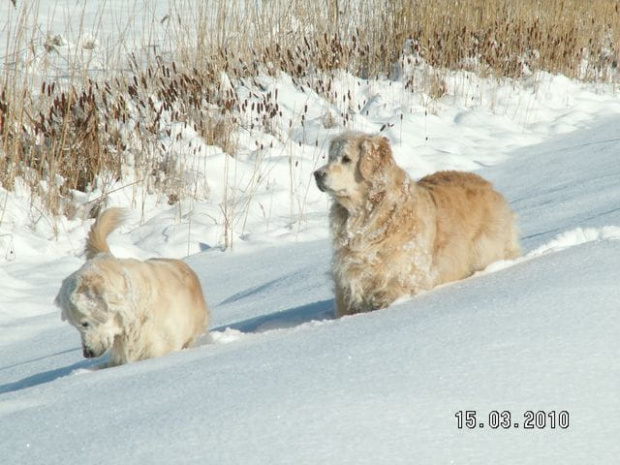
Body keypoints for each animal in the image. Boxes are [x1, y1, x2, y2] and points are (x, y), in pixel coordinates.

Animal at [312, 132, 520, 318]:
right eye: (330, 157)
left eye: (346, 159)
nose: (316, 174)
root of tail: (489, 185)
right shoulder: (347, 288)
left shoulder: (403, 279)